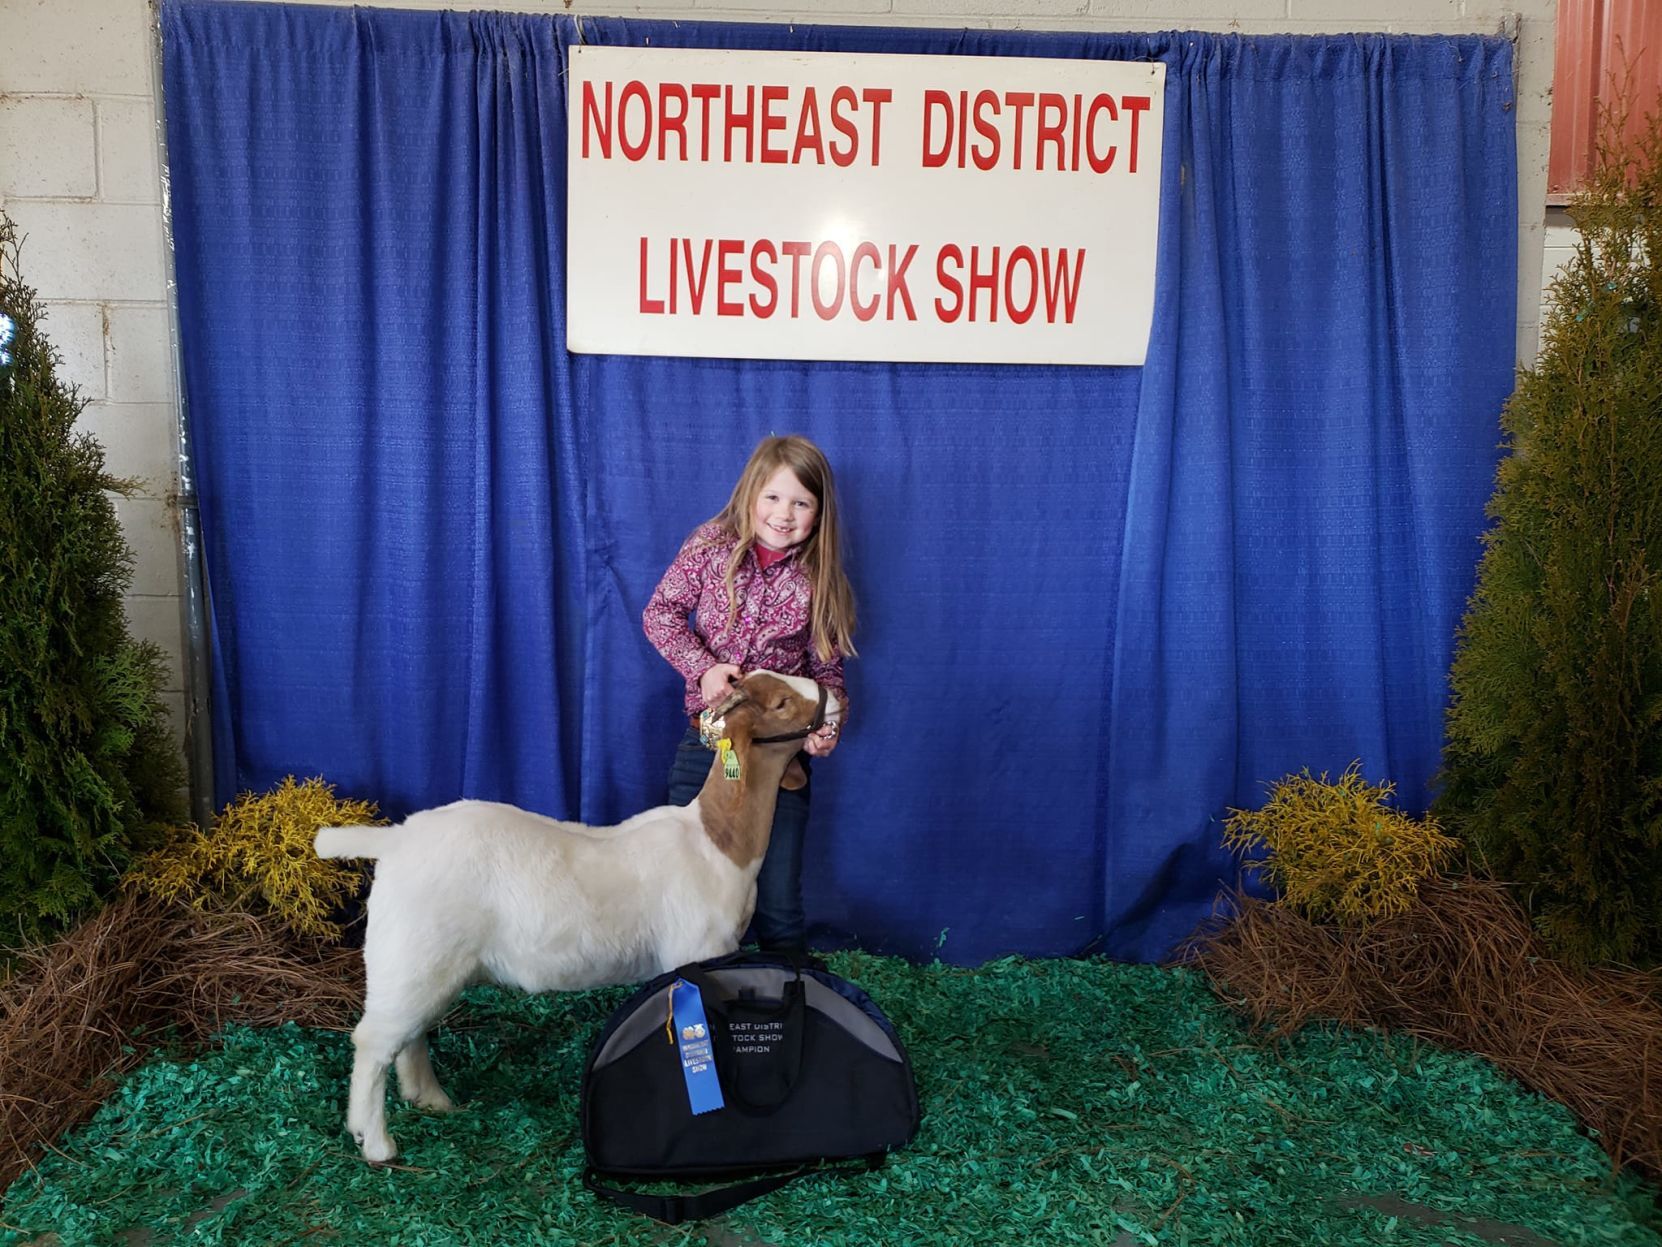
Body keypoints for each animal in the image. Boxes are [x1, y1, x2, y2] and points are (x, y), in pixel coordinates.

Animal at [312, 668, 837, 1170]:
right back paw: (375, 1141)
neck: (717, 841)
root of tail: (395, 840)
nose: (836, 697)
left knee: (410, 1034)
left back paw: (433, 1100)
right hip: (412, 953)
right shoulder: (697, 953)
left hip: (427, 963)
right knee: (374, 1041)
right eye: (782, 703)